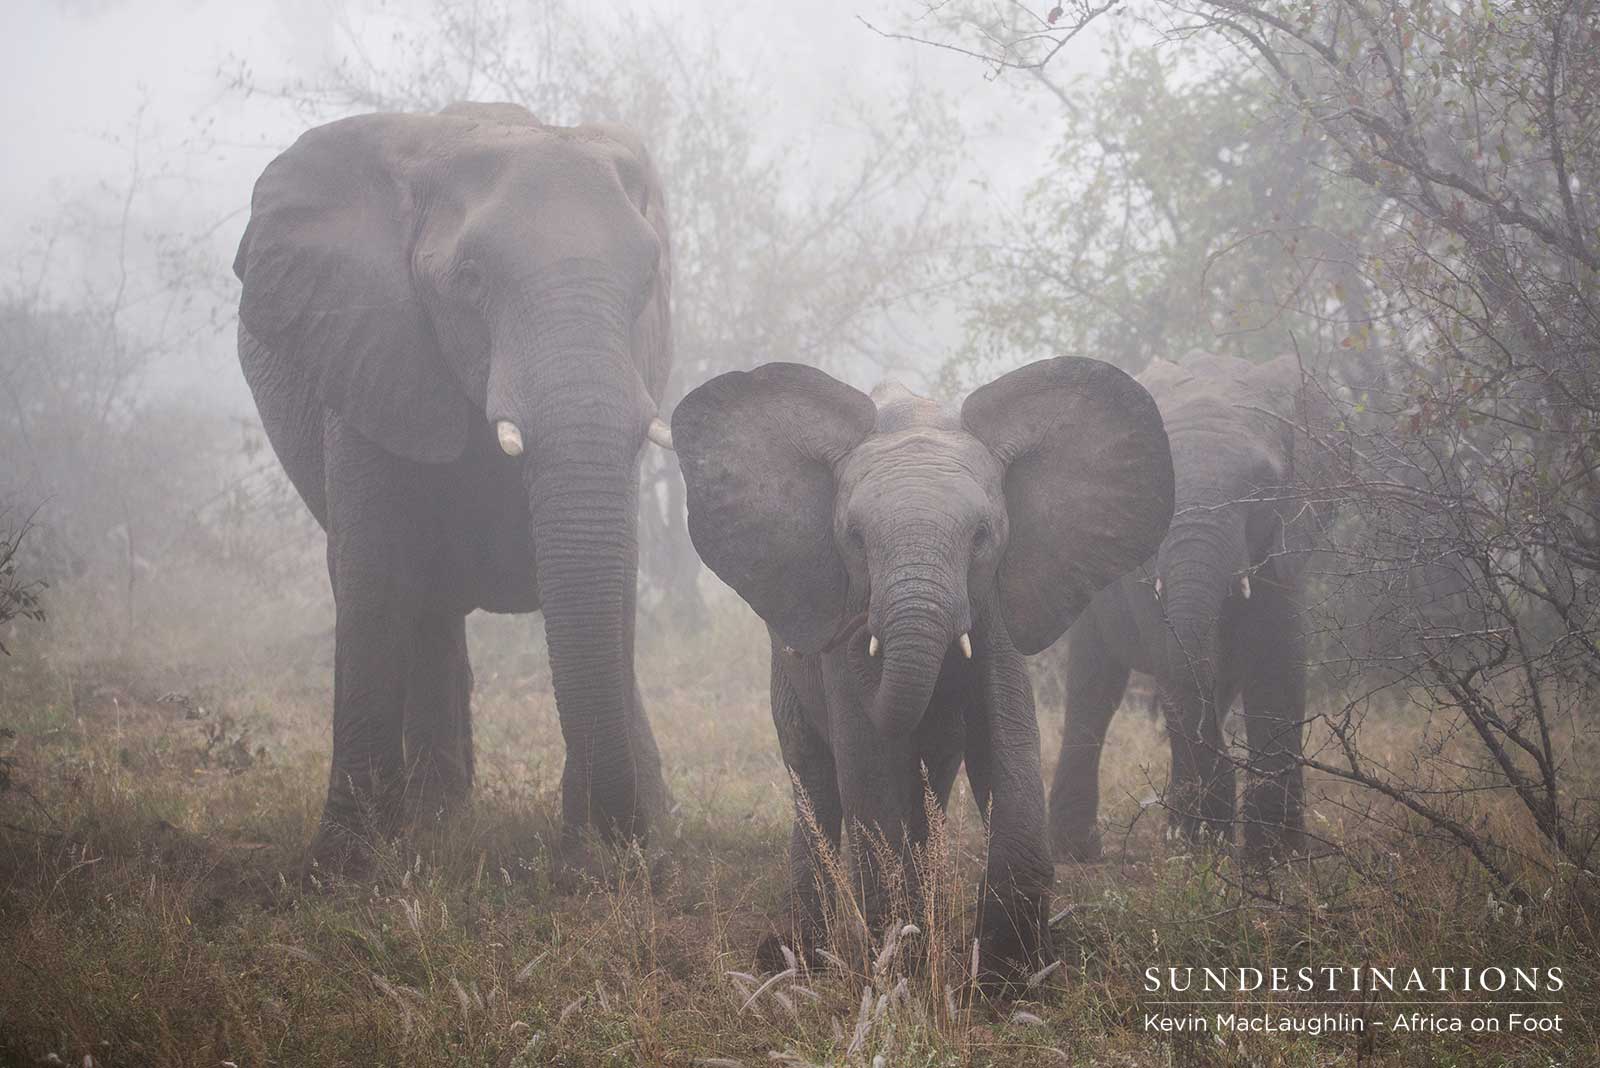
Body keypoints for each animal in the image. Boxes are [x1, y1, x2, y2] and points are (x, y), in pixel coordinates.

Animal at [232, 102, 676, 864]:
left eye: (647, 281)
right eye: (470, 282)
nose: (615, 835)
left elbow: (614, 573)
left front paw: (612, 848)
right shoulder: (373, 356)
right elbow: (374, 575)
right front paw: (344, 863)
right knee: (422, 602)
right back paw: (436, 817)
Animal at [673, 358, 1173, 983]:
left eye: (982, 535)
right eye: (854, 538)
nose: (847, 632)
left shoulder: (995, 597)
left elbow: (1004, 733)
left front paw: (1012, 975)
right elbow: (864, 757)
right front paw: (899, 971)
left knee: (927, 773)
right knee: (815, 779)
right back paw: (800, 960)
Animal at [1048, 350, 1323, 862]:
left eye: (1263, 487)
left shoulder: (1286, 542)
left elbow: (1278, 665)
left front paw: (1276, 857)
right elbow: (1175, 666)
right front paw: (1211, 846)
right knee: (1095, 689)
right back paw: (1083, 853)